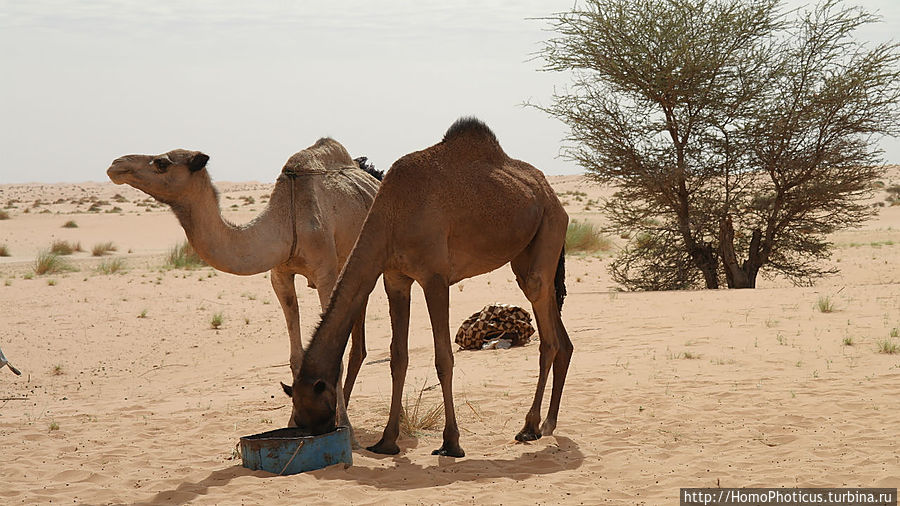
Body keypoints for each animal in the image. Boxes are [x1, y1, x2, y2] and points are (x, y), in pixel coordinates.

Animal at [106, 137, 384, 412]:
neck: (288, 221)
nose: (116, 164)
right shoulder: (280, 276)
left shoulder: (326, 273)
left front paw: (342, 423)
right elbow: (296, 357)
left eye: (162, 163)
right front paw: (298, 417)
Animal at [284, 118, 568, 458]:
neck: (391, 213)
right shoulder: (395, 279)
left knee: (547, 336)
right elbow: (398, 358)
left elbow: (443, 359)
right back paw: (549, 423)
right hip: (526, 254)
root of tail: (551, 194)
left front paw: (451, 443)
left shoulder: (435, 277)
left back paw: (529, 427)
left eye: (311, 413)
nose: (318, 432)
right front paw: (387, 441)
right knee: (557, 328)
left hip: (549, 227)